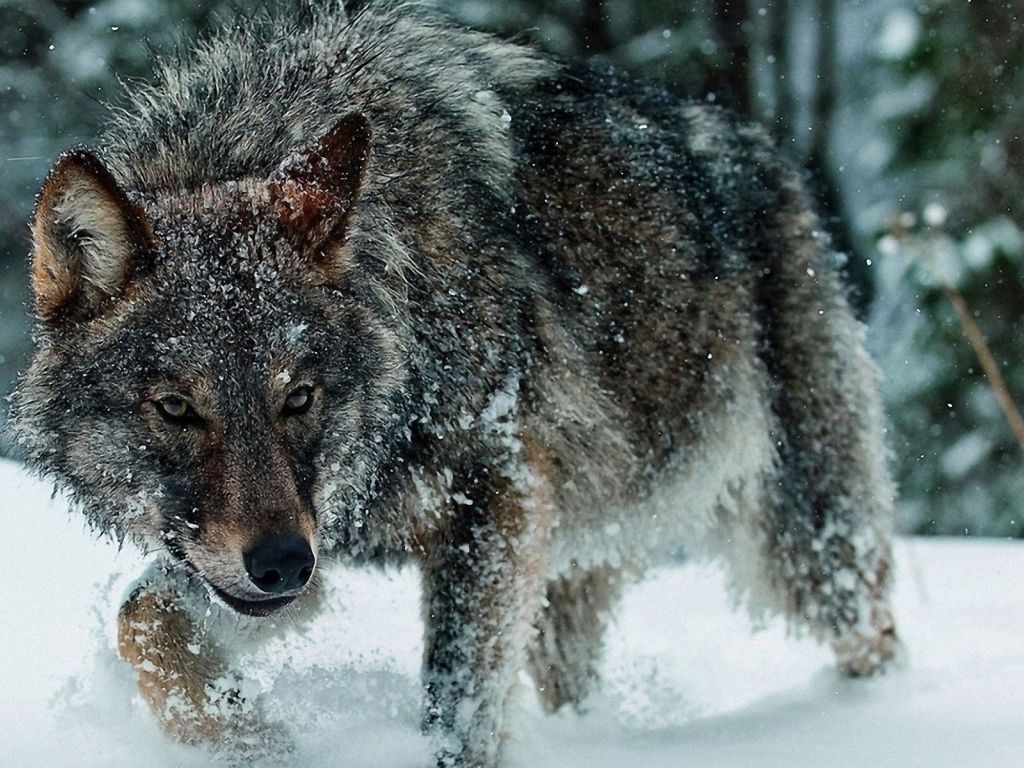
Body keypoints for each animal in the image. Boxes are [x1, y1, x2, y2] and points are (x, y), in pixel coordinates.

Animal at [11, 2, 898, 766]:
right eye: (175, 408)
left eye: (298, 397)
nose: (283, 567)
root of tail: (767, 151)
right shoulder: (302, 540)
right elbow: (142, 619)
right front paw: (246, 739)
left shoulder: (490, 495)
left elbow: (457, 708)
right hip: (565, 583)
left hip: (806, 543)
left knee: (875, 632)